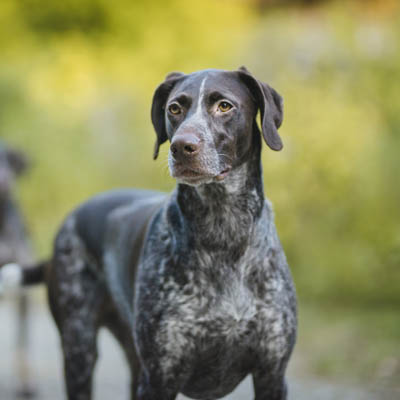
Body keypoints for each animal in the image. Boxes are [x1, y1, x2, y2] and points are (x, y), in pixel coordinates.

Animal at [24, 67, 296, 398]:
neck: (223, 230)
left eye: (225, 106)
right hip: (80, 349)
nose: (182, 146)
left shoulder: (272, 374)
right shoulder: (160, 376)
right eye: (174, 108)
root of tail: (72, 218)